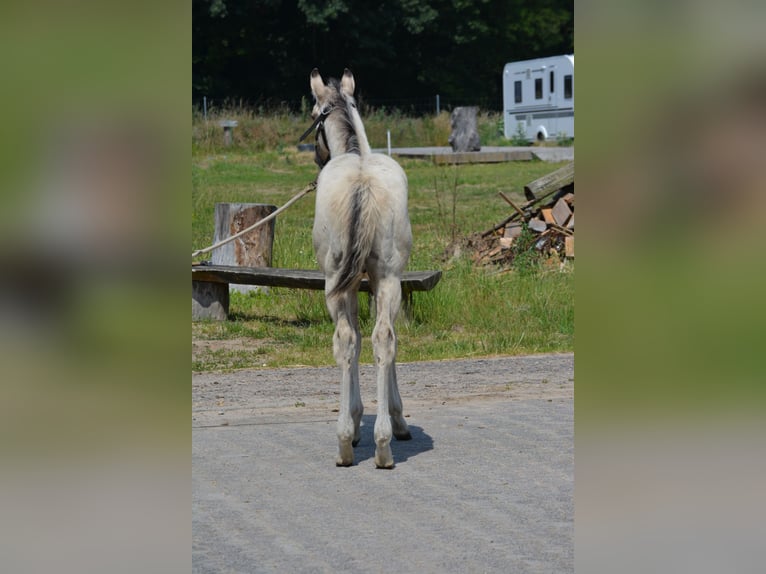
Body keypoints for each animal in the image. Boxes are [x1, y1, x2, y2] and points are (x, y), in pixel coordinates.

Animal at [308, 68, 412, 468]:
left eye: (313, 113)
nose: (316, 156)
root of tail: (362, 182)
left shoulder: (352, 285)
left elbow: (358, 340)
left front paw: (358, 420)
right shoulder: (372, 283)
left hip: (337, 283)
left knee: (349, 340)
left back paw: (348, 443)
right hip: (385, 279)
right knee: (380, 339)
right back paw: (380, 444)